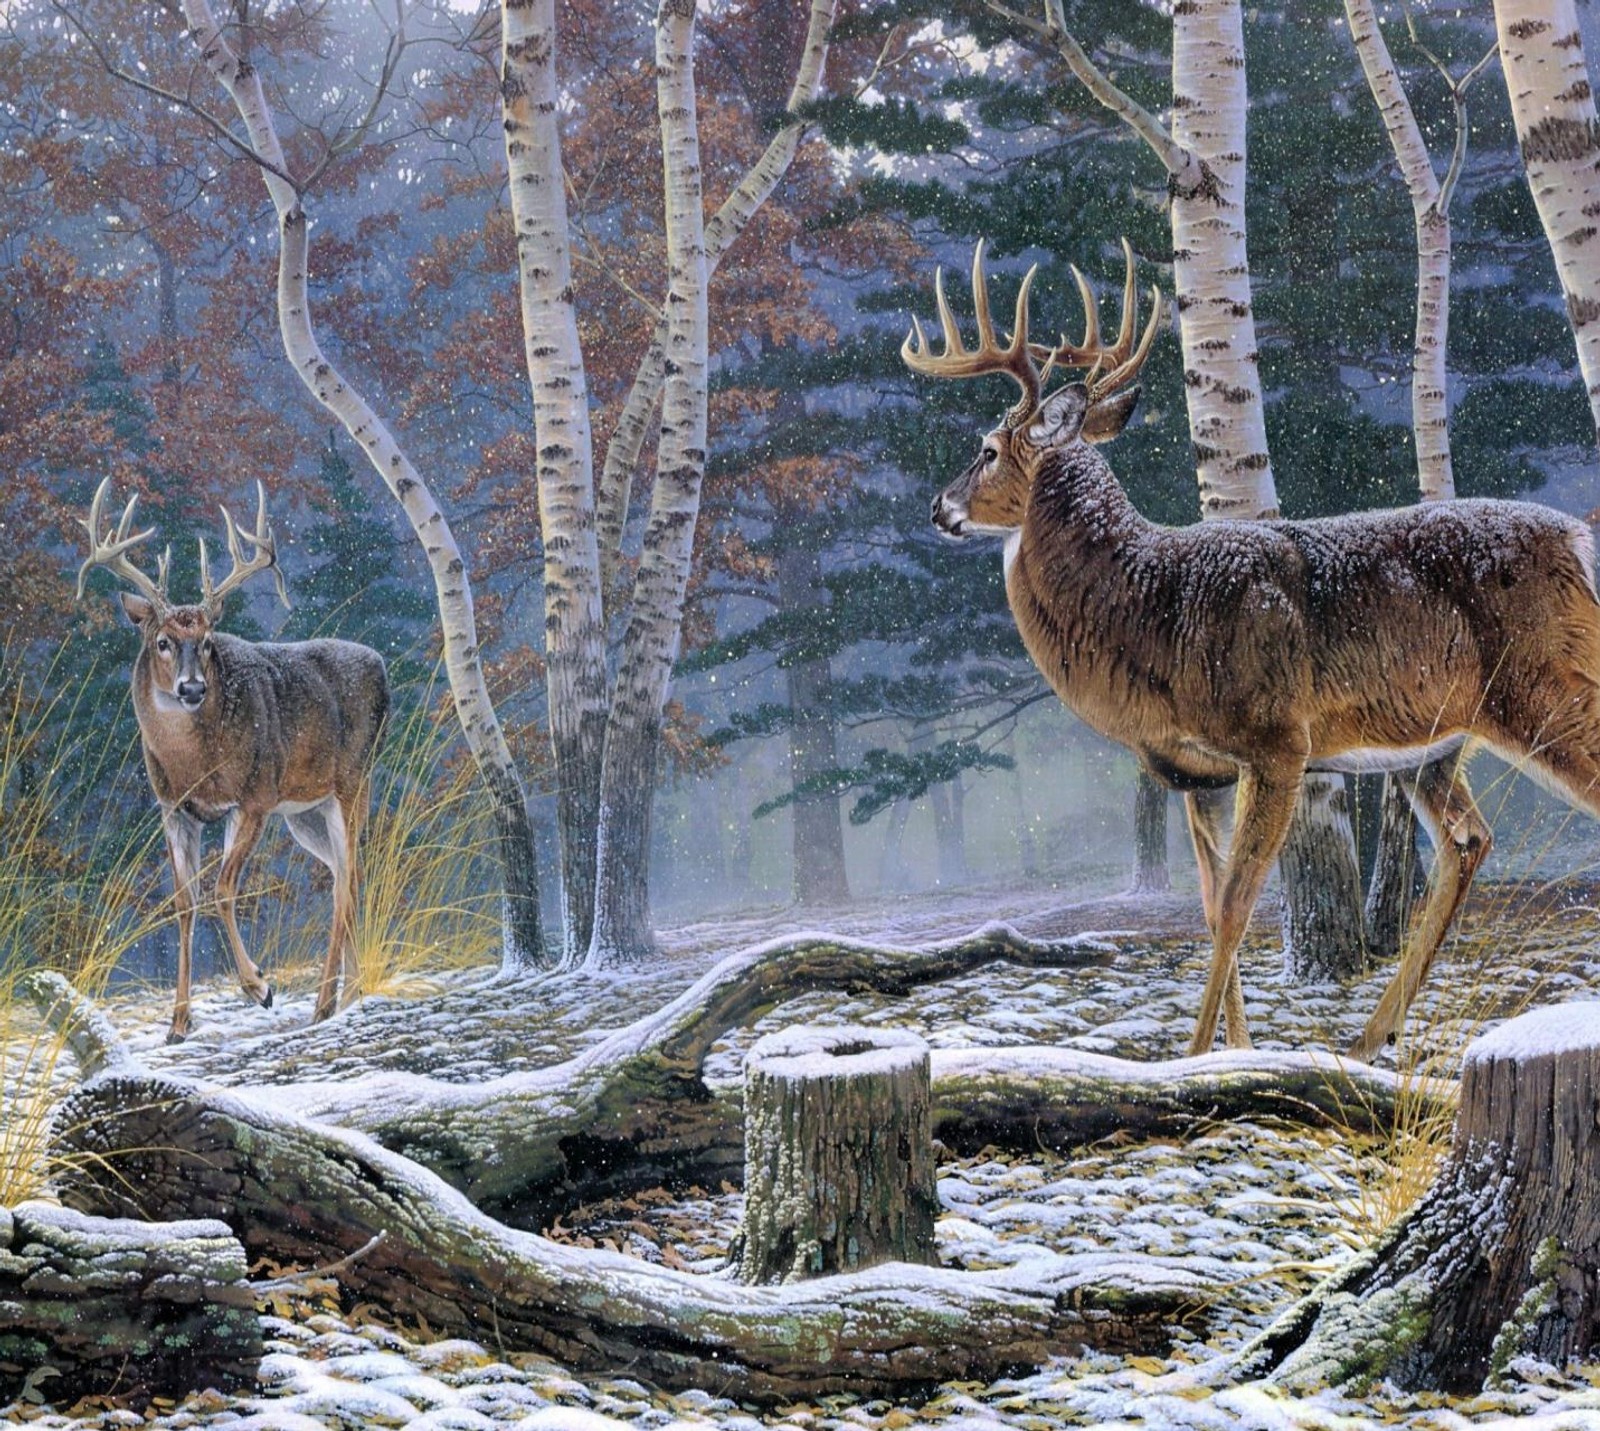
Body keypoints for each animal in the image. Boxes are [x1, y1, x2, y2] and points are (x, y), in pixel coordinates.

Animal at [79, 480, 392, 1043]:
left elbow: (224, 889)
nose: (192, 688)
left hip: (353, 781)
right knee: (348, 876)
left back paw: (322, 1003)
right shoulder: (174, 808)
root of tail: (381, 665)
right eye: (163, 641)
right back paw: (351, 994)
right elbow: (184, 902)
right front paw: (178, 1023)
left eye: (206, 643)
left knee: (345, 884)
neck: (195, 763)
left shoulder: (254, 797)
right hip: (305, 813)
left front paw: (259, 987)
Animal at [908, 240, 1600, 1062]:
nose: (938, 508)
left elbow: (1240, 902)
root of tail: (1583, 541)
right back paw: (1368, 1039)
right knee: (1468, 839)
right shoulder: (1195, 770)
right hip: (1439, 745)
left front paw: (1195, 1055)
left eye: (986, 450)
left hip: (1546, 690)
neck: (1153, 607)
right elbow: (1213, 906)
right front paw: (1233, 1048)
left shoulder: (1277, 740)